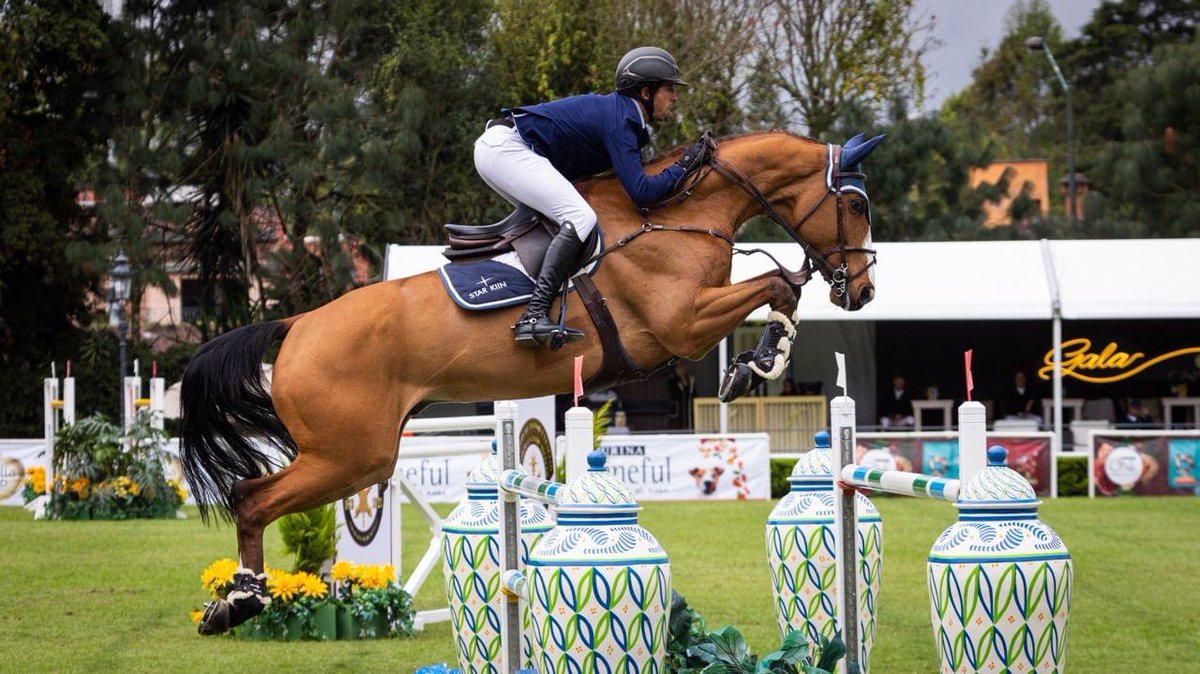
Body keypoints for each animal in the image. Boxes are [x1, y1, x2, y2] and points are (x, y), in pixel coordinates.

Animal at [182, 129, 884, 634]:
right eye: (853, 204)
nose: (864, 291)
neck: (682, 213)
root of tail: (297, 325)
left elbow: (781, 287)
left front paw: (755, 362)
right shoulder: (679, 324)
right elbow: (778, 284)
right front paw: (761, 362)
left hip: (353, 455)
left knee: (254, 496)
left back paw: (235, 602)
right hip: (351, 455)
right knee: (251, 498)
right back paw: (238, 603)